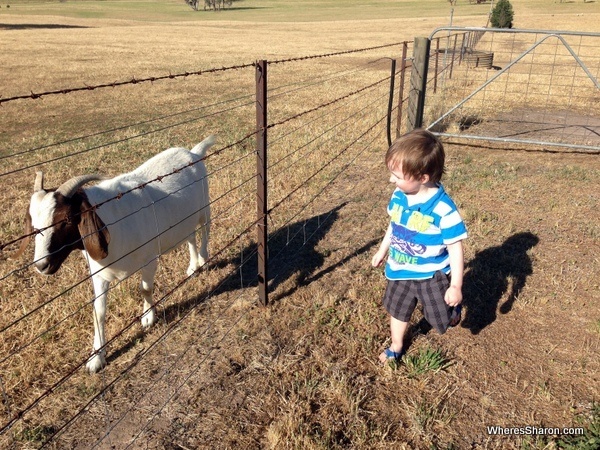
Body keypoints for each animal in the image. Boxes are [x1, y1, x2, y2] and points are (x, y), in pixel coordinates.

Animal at [24, 134, 216, 372]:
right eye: (33, 224)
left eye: (66, 220)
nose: (41, 265)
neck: (113, 219)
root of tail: (193, 152)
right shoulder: (99, 273)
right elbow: (98, 311)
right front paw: (96, 359)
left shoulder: (149, 259)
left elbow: (146, 289)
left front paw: (148, 319)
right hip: (185, 218)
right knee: (190, 236)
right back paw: (192, 266)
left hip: (204, 207)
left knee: (205, 229)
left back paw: (204, 259)